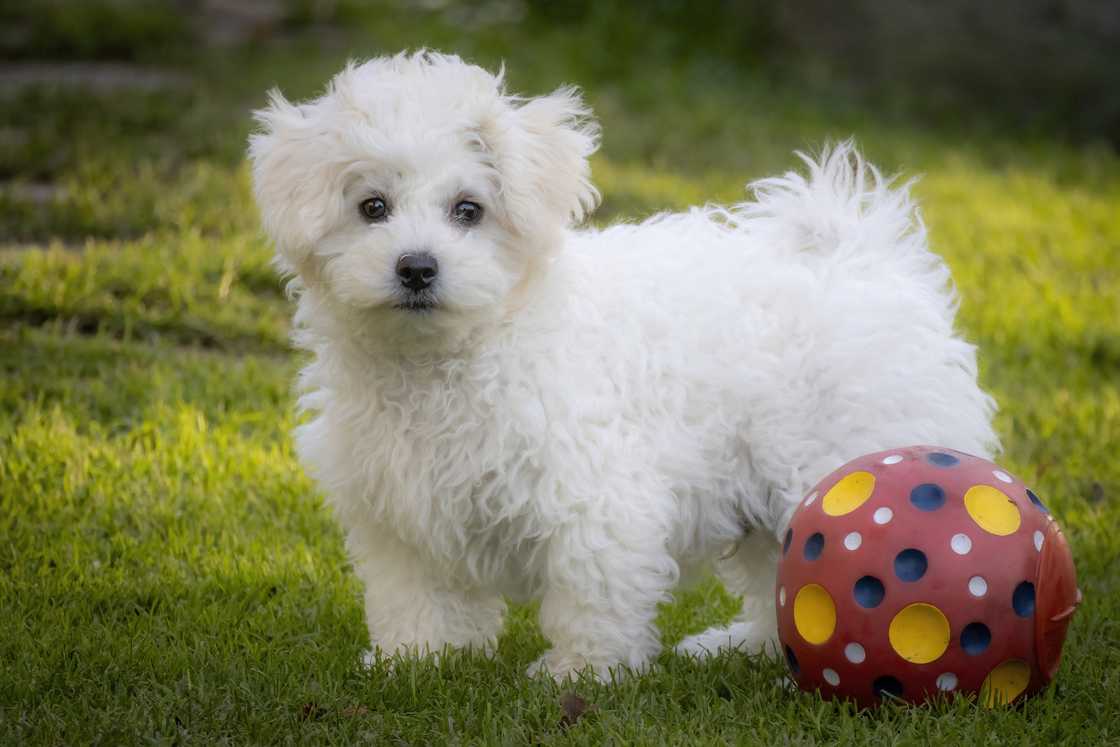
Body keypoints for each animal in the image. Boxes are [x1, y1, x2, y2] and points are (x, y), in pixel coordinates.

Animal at [247, 51, 999, 685]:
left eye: (469, 210)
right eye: (371, 207)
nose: (417, 267)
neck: (453, 354)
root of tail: (866, 253)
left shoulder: (591, 493)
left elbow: (591, 588)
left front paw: (582, 673)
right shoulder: (401, 509)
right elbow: (416, 592)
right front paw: (417, 658)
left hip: (832, 455)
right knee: (778, 580)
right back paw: (742, 645)